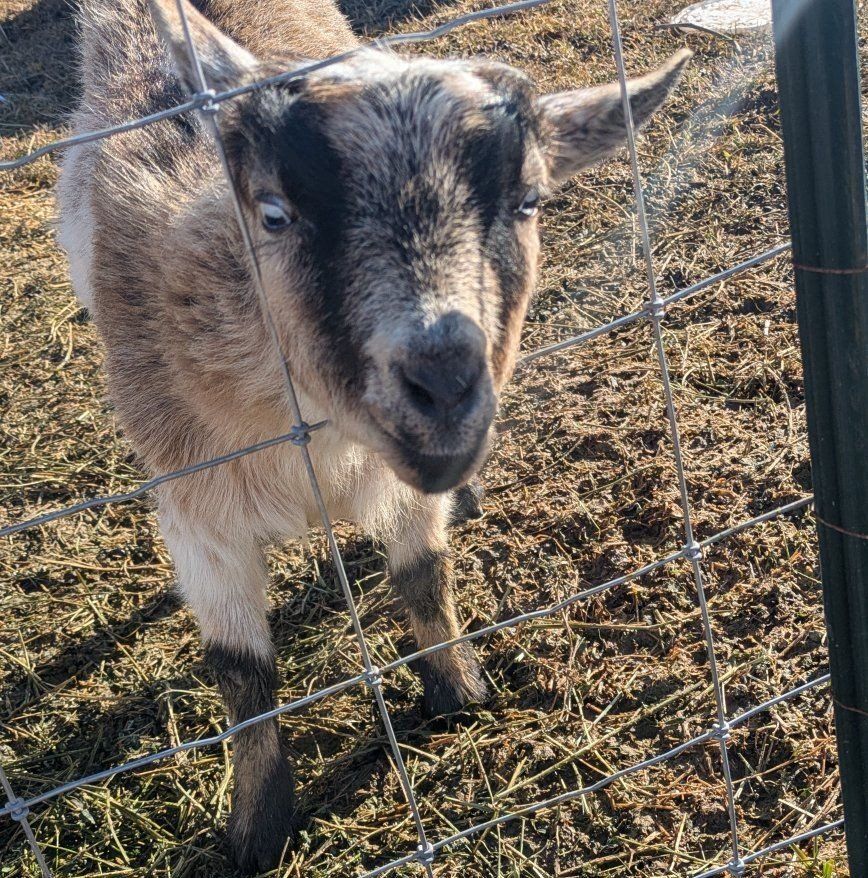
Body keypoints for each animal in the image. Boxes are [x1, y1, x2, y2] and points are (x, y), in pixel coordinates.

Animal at [56, 0, 689, 870]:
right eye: (274, 212)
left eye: (528, 201)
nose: (445, 380)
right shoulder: (195, 503)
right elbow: (241, 672)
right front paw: (257, 829)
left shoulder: (401, 482)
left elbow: (423, 574)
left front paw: (459, 693)